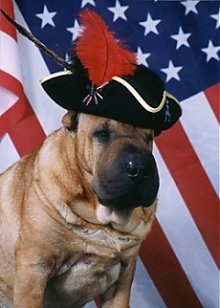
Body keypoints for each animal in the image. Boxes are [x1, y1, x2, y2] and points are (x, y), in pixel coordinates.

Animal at [0, 111, 159, 308]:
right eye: (102, 134)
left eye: (148, 138)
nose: (140, 167)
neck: (103, 222)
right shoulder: (35, 267)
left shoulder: (124, 275)